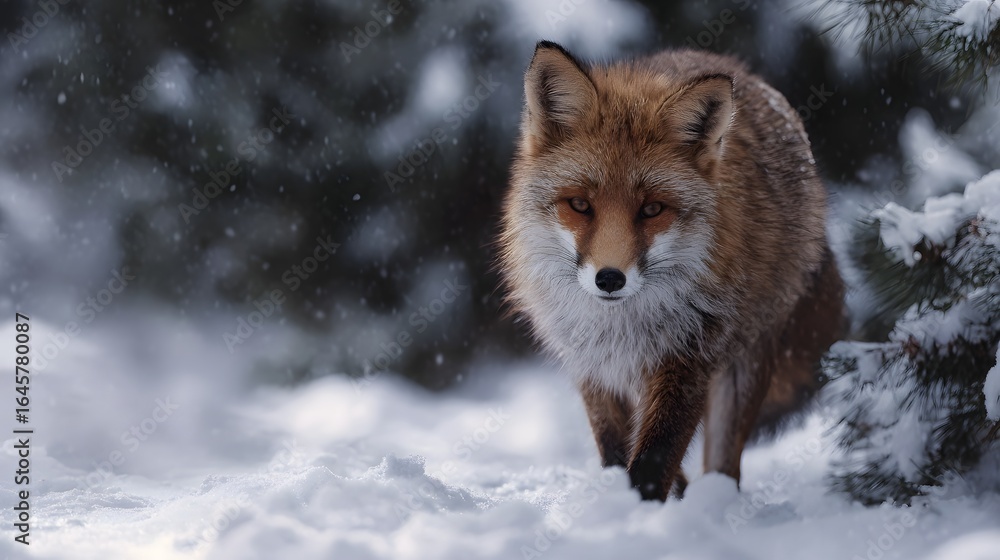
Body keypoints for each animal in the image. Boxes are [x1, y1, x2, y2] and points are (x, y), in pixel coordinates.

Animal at [497, 42, 845, 501]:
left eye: (652, 209)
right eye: (580, 205)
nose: (610, 278)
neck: (620, 328)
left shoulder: (691, 358)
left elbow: (655, 455)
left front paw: (640, 510)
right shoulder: (593, 368)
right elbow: (615, 451)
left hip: (744, 365)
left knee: (724, 467)